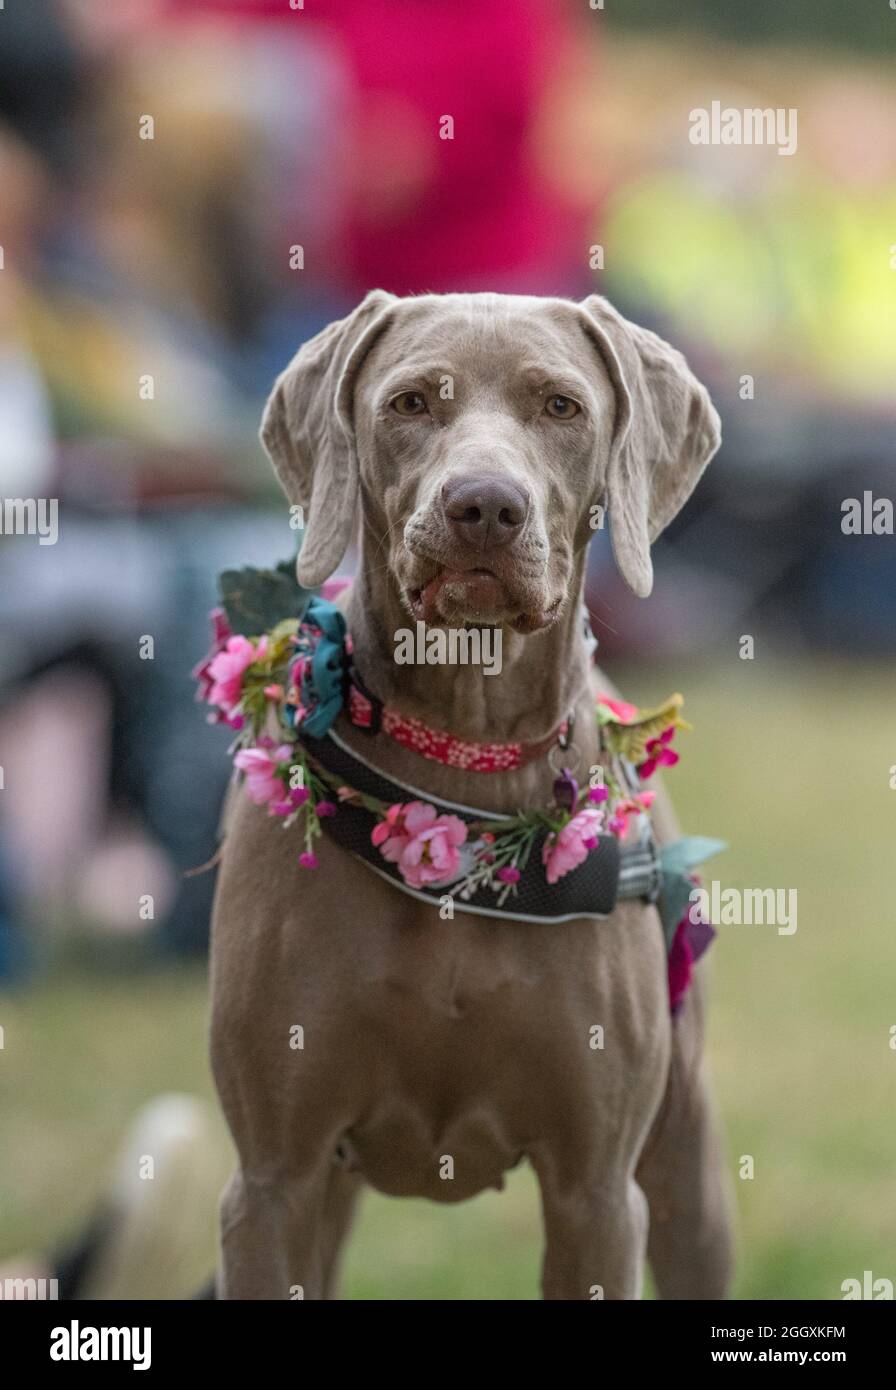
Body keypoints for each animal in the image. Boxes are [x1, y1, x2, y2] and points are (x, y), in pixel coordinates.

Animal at [211, 287, 733, 1295]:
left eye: (561, 406)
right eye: (411, 402)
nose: (484, 505)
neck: (463, 753)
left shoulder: (596, 1193)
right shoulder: (271, 1183)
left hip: (690, 1170)